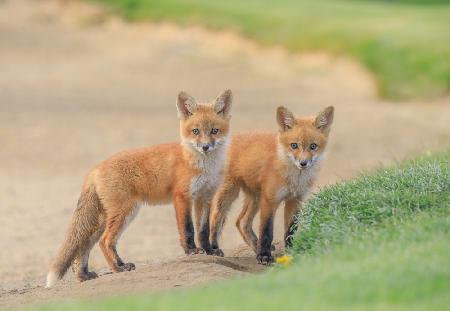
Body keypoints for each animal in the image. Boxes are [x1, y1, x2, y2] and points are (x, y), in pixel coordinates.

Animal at [46, 89, 234, 288]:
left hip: (105, 219)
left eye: (214, 130)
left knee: (85, 245)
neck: (201, 164)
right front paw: (191, 250)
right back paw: (118, 268)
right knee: (105, 241)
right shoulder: (182, 196)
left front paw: (209, 250)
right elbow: (188, 228)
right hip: (125, 211)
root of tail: (95, 169)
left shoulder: (205, 197)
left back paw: (85, 274)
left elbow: (204, 230)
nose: (205, 147)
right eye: (195, 131)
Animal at [209, 106, 332, 264]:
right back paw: (214, 248)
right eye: (294, 145)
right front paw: (264, 256)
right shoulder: (270, 199)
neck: (294, 179)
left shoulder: (295, 200)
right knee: (215, 218)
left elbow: (290, 231)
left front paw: (291, 252)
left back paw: (255, 246)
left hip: (255, 197)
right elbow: (266, 230)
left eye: (313, 146)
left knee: (241, 221)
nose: (303, 163)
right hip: (229, 193)